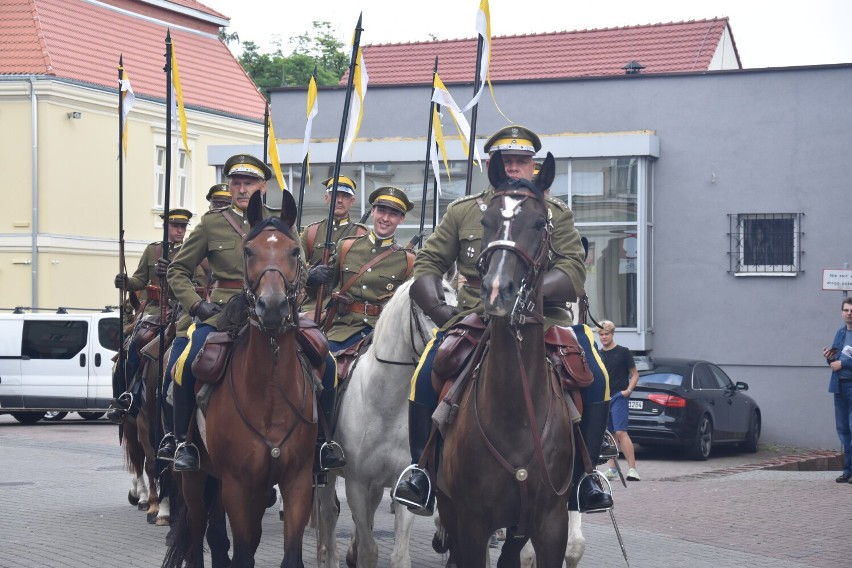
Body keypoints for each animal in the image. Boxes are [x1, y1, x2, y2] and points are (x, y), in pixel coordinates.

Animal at [163, 192, 316, 568]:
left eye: (295, 252)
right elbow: (243, 553)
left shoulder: (296, 481)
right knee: (197, 533)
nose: (272, 308)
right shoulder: (237, 485)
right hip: (196, 479)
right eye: (249, 251)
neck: (271, 393)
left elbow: (290, 555)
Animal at [314, 278, 446, 568]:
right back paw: (331, 556)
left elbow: (399, 554)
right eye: (427, 309)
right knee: (329, 513)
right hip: (328, 473)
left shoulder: (405, 482)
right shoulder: (356, 484)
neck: (387, 403)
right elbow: (368, 549)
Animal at [436, 152, 576, 568]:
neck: (516, 413)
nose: (498, 290)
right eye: (486, 222)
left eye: (540, 223)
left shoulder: (550, 524)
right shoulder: (471, 521)